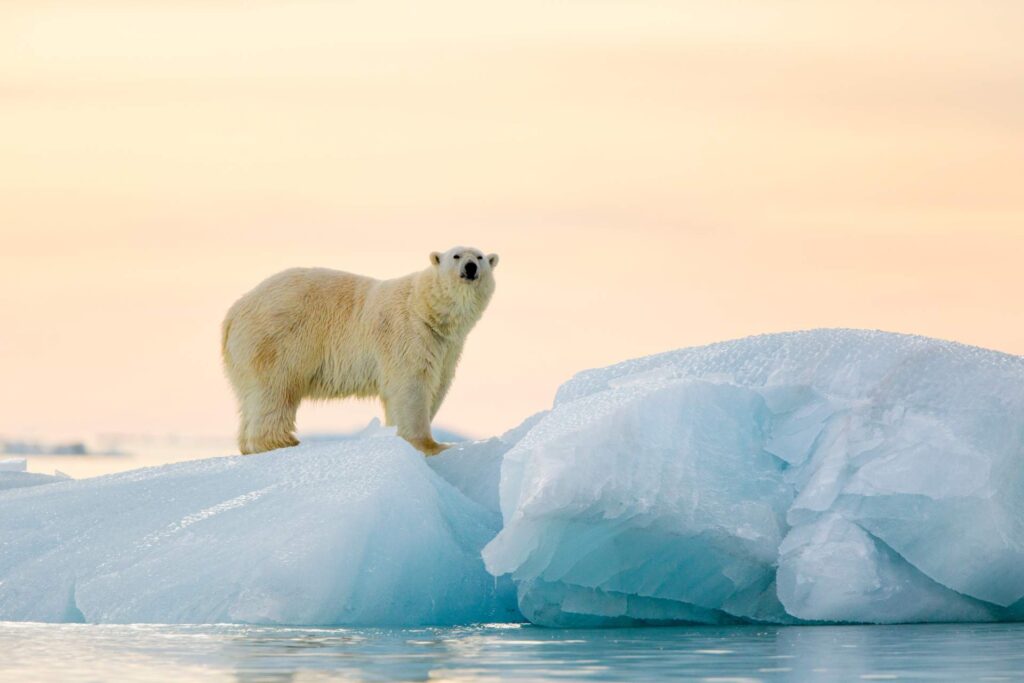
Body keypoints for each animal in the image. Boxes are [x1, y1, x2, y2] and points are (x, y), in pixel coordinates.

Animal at [222, 245, 497, 454]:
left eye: (480, 257)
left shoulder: (447, 347)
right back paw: (282, 442)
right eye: (456, 255)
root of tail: (234, 312)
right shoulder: (409, 335)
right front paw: (431, 445)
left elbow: (437, 384)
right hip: (278, 339)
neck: (426, 310)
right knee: (276, 390)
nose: (470, 267)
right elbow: (412, 386)